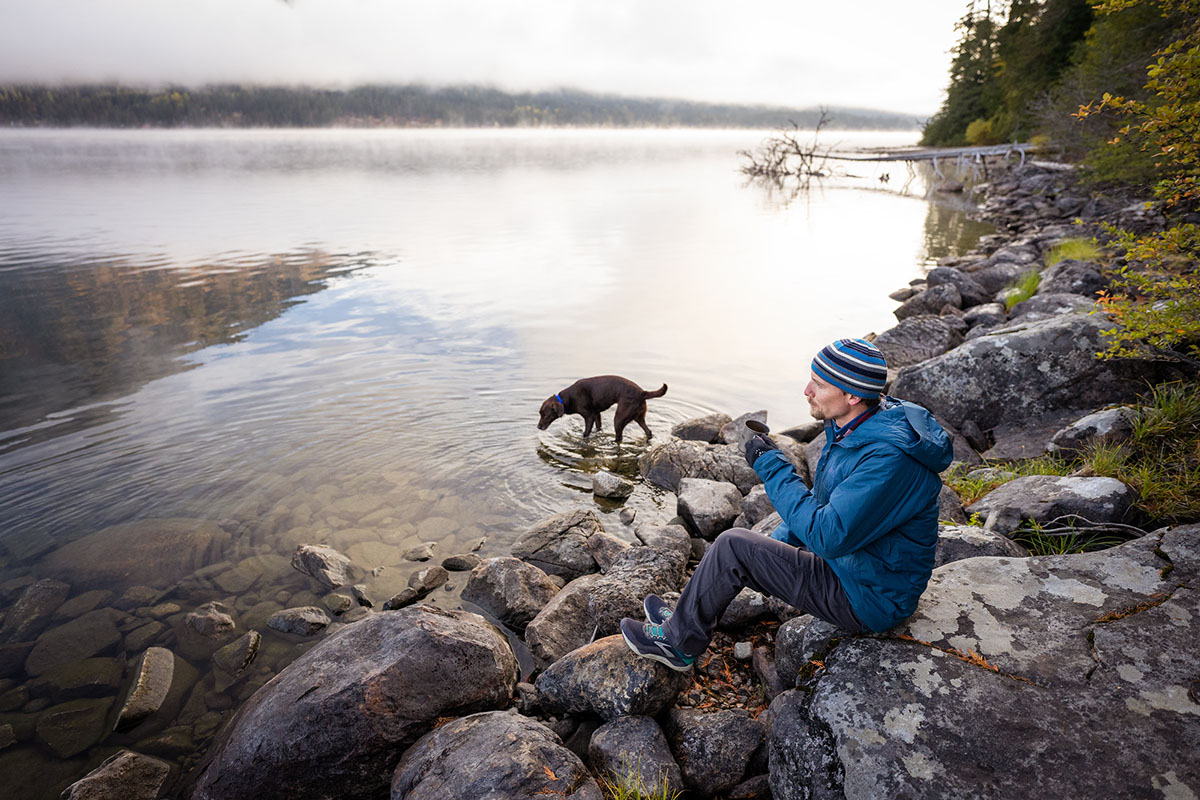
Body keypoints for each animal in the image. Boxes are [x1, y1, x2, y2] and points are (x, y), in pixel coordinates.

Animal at [542, 376, 672, 443]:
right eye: (540, 413)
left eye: (546, 415)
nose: (538, 426)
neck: (568, 398)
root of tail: (642, 392)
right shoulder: (597, 414)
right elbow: (598, 427)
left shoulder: (589, 417)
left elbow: (585, 433)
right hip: (638, 417)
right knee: (648, 432)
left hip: (619, 419)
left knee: (619, 438)